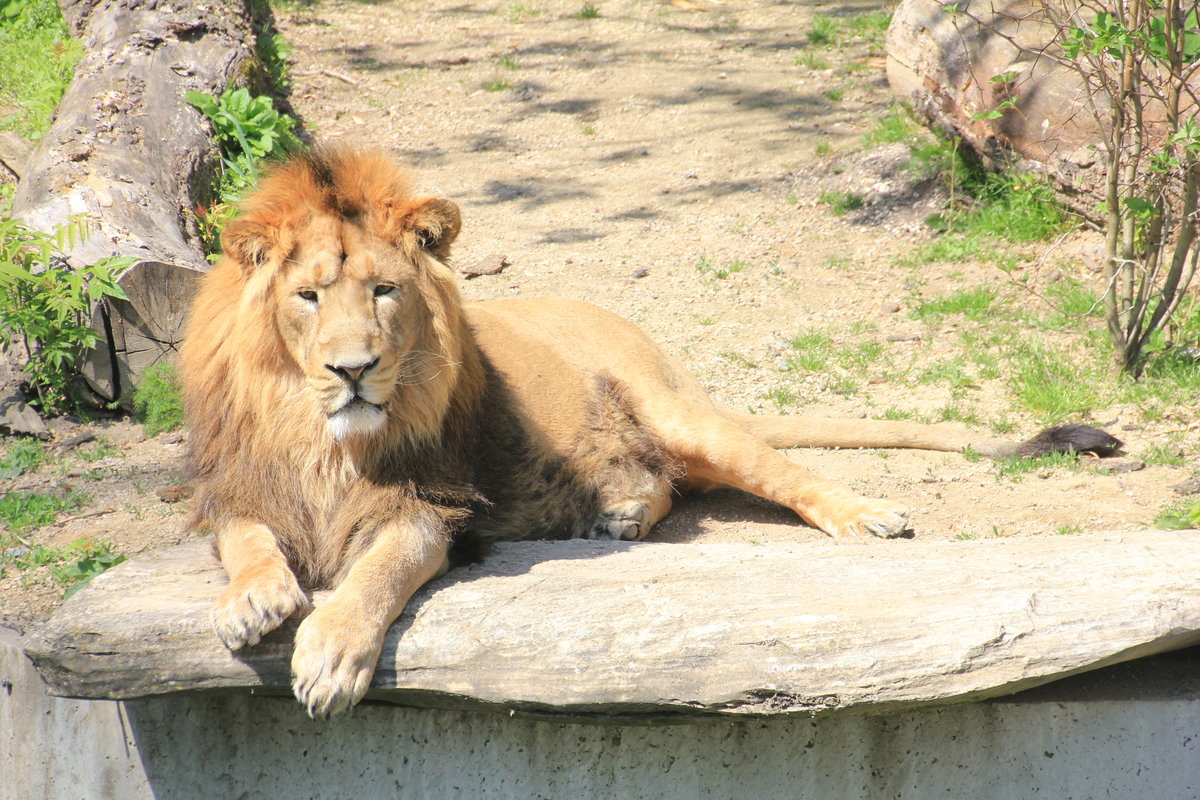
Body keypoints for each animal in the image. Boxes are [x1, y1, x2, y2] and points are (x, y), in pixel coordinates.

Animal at [180, 145, 1123, 719]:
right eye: (308, 297)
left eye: (383, 290)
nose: (353, 369)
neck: (320, 437)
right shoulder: (240, 485)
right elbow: (244, 537)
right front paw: (253, 600)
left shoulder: (437, 506)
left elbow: (380, 572)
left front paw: (330, 656)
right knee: (664, 483)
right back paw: (622, 515)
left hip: (680, 412)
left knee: (777, 471)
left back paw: (864, 515)